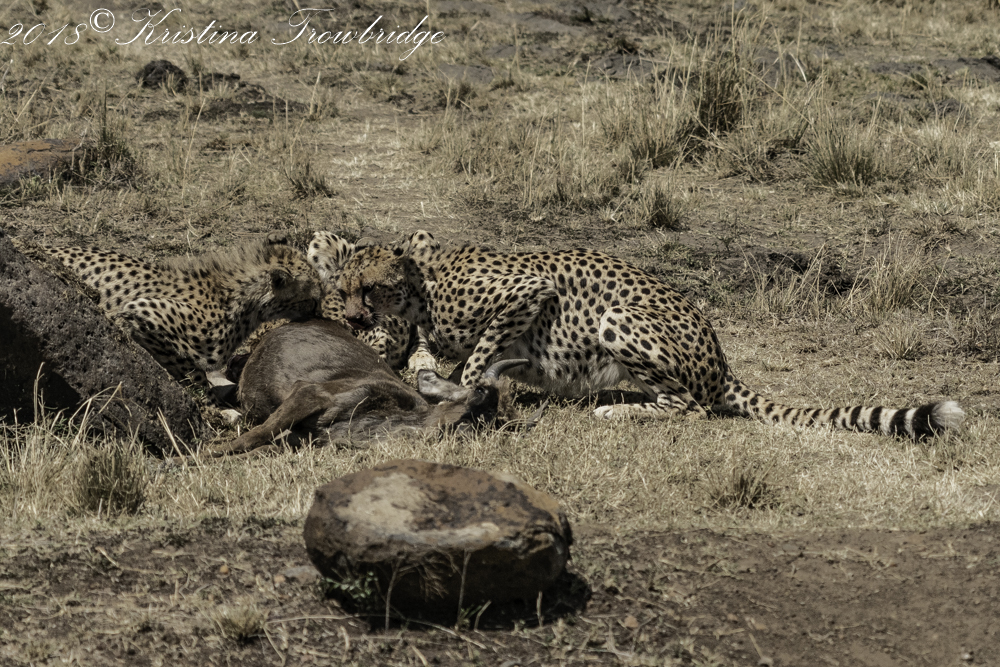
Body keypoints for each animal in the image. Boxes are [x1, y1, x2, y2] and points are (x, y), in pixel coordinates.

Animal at [334, 229, 965, 439]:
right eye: (343, 287)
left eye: (367, 287)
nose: (353, 316)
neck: (421, 285)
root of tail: (721, 359)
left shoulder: (529, 291)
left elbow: (476, 357)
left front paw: (460, 387)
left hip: (619, 319)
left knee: (692, 408)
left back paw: (616, 410)